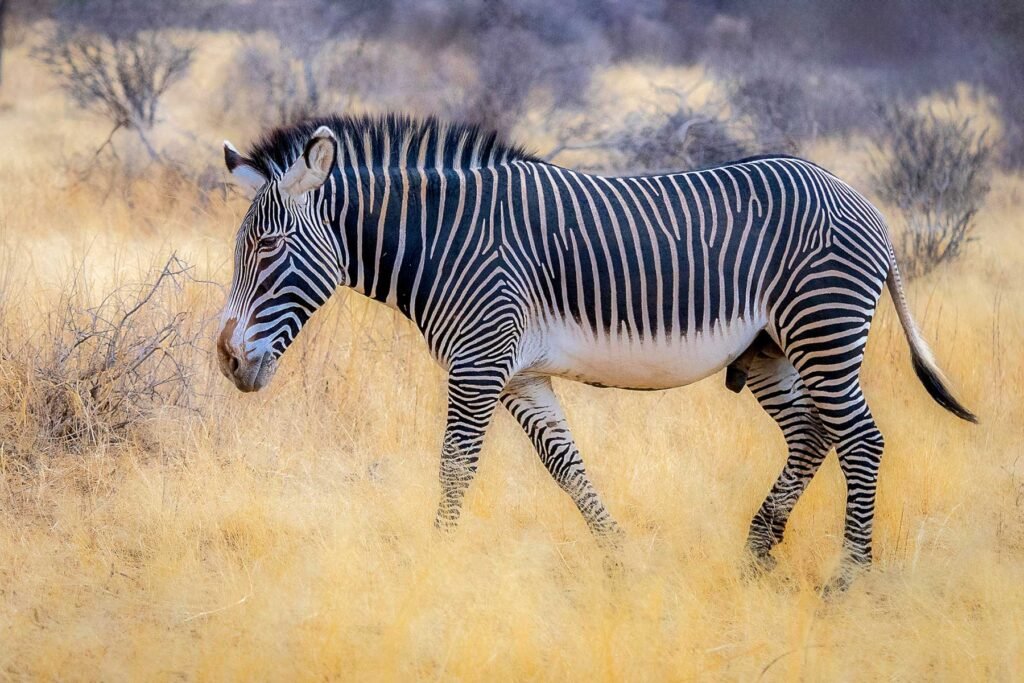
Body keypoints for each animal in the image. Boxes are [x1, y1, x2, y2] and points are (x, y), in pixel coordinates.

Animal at [216, 114, 976, 591]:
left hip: (823, 328)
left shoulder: (479, 362)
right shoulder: (520, 376)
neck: (446, 241)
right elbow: (567, 467)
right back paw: (757, 553)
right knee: (813, 435)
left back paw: (849, 577)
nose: (226, 360)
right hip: (771, 350)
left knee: (863, 440)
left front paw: (434, 562)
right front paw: (621, 560)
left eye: (268, 246)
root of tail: (865, 204)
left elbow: (455, 467)